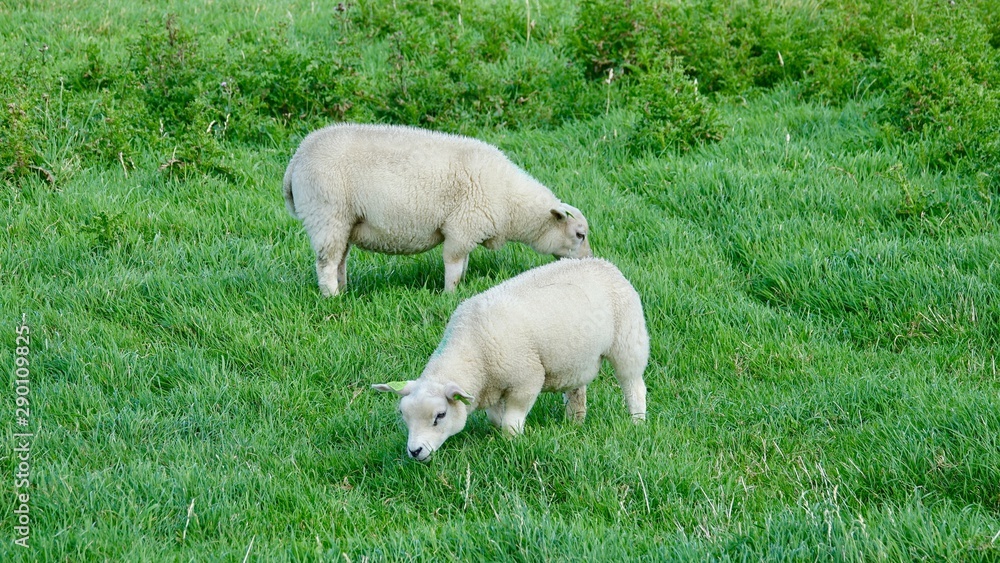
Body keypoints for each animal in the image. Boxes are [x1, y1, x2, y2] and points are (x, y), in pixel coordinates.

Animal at [283, 123, 592, 296]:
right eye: (580, 234)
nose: (589, 262)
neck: (511, 202)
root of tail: (297, 157)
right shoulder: (462, 227)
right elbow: (453, 264)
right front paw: (449, 295)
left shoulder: (468, 232)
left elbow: (464, 263)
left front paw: (461, 287)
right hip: (326, 214)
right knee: (326, 262)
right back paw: (332, 298)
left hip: (343, 222)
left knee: (340, 260)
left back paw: (344, 290)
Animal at [373, 257, 649, 461]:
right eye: (403, 414)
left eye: (440, 415)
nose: (414, 451)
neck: (473, 350)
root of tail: (604, 263)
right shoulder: (491, 387)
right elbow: (496, 417)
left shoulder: (525, 380)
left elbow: (510, 422)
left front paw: (512, 443)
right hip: (575, 358)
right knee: (576, 392)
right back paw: (574, 423)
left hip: (628, 341)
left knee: (634, 385)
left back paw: (637, 421)